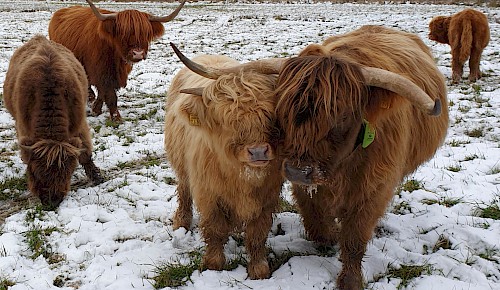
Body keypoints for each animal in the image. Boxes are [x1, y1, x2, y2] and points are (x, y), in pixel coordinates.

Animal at [2, 35, 104, 210]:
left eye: (67, 172)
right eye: (35, 172)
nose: (52, 202)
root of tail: (39, 37)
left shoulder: (79, 124)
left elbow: (85, 151)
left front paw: (96, 176)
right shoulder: (23, 127)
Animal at [48, 0, 187, 121]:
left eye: (146, 33)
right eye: (123, 33)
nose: (138, 53)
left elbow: (103, 93)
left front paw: (96, 109)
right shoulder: (102, 72)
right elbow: (110, 95)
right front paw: (116, 117)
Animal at [165, 43, 286, 278]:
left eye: (269, 115)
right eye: (227, 121)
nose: (258, 152)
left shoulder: (267, 197)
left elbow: (257, 233)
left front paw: (259, 269)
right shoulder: (209, 194)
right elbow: (215, 229)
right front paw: (213, 265)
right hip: (181, 164)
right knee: (183, 188)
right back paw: (181, 221)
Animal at [272, 26, 452, 288]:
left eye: (343, 117)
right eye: (282, 110)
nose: (298, 170)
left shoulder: (373, 188)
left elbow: (355, 237)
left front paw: (350, 281)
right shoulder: (303, 185)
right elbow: (316, 221)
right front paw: (330, 235)